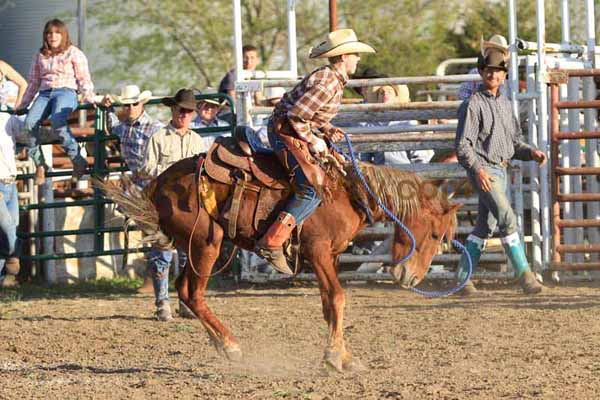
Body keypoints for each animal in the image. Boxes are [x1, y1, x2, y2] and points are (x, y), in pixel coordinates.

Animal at [99, 139, 460, 374]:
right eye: (435, 234)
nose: (410, 277)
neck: (347, 192)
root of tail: (158, 186)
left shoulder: (330, 256)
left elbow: (329, 305)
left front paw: (344, 357)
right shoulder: (318, 251)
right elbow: (337, 299)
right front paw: (334, 358)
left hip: (194, 246)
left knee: (185, 289)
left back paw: (219, 343)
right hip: (206, 243)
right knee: (192, 292)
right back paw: (230, 346)